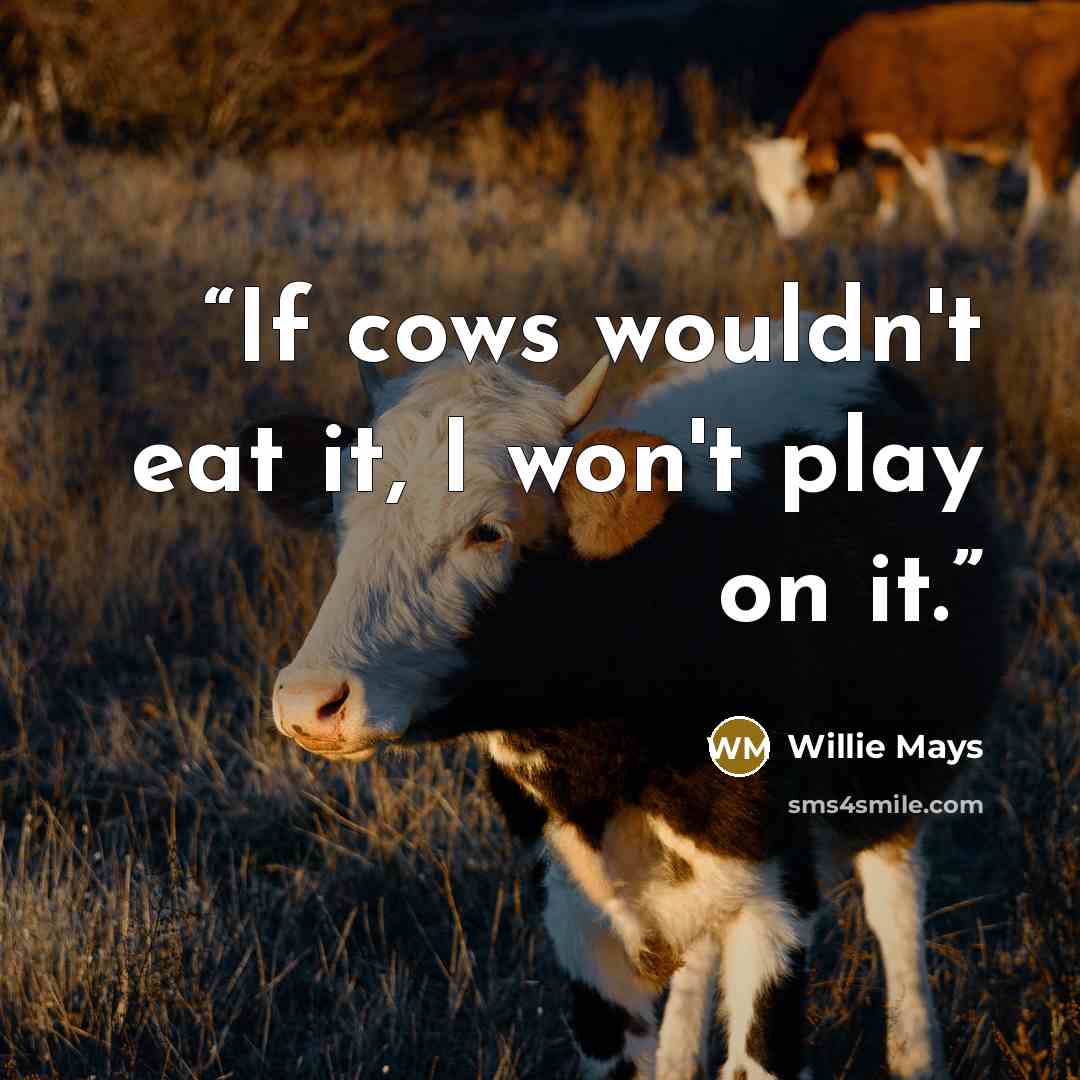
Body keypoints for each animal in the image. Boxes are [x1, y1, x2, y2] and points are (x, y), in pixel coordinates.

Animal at [241, 317, 1009, 1080]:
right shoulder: (576, 913)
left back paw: (916, 1055)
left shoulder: (778, 897)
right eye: (342, 519)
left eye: (488, 530)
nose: (311, 701)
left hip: (904, 768)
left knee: (895, 898)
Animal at [745, 2, 1080, 239]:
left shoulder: (916, 135)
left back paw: (1023, 241)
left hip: (1049, 126)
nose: (788, 239)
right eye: (767, 198)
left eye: (795, 190)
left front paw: (952, 236)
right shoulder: (885, 148)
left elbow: (935, 187)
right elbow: (888, 195)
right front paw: (880, 232)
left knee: (1043, 189)